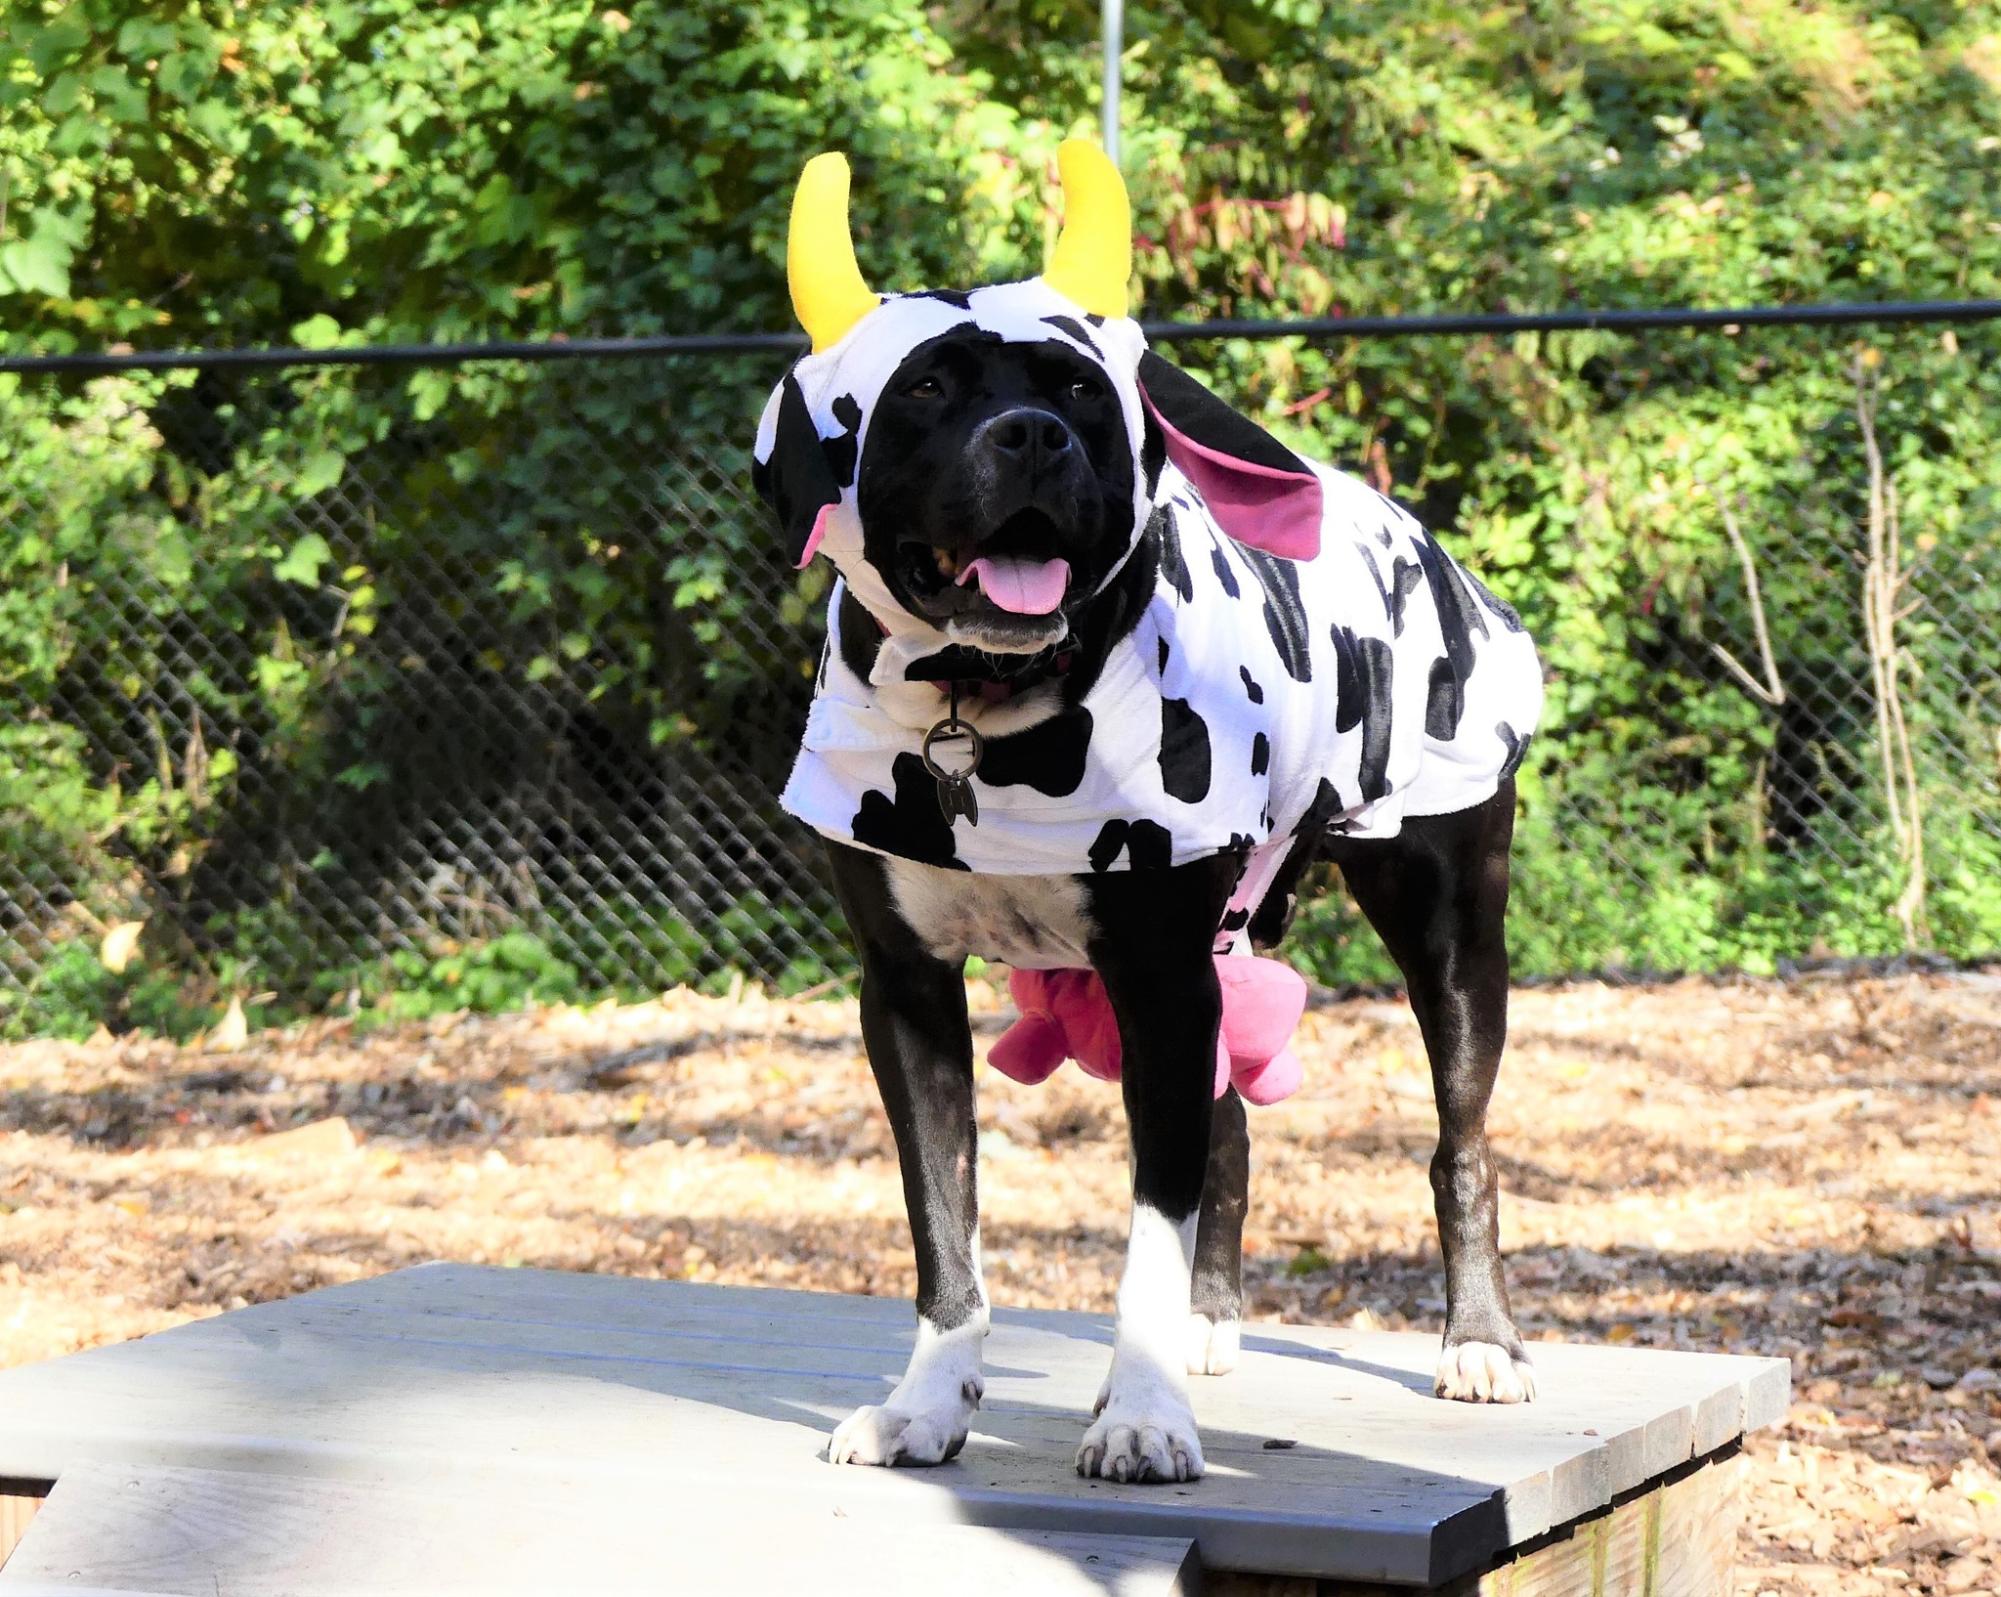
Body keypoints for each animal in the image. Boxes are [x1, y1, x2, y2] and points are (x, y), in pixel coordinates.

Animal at [752, 144, 1544, 1480]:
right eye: (927, 388)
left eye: (1080, 387)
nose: (1031, 436)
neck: (986, 712)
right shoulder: (907, 992)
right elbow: (943, 1215)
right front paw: (929, 1401)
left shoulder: (1159, 980)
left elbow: (1146, 1239)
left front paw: (1139, 1412)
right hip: (1220, 948)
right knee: (1229, 1130)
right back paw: (1214, 1324)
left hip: (1445, 927)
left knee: (1460, 1141)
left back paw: (1478, 1341)